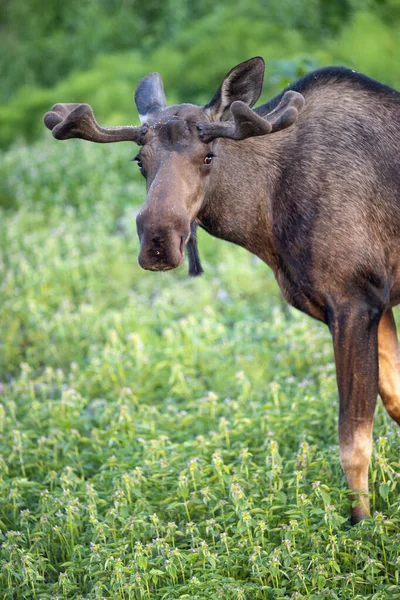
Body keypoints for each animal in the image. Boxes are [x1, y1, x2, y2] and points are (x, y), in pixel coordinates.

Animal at [43, 57, 400, 524]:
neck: (265, 223)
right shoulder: (378, 301)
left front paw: (362, 525)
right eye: (139, 160)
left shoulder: (353, 299)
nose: (158, 241)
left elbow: (353, 443)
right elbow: (395, 403)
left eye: (209, 155)